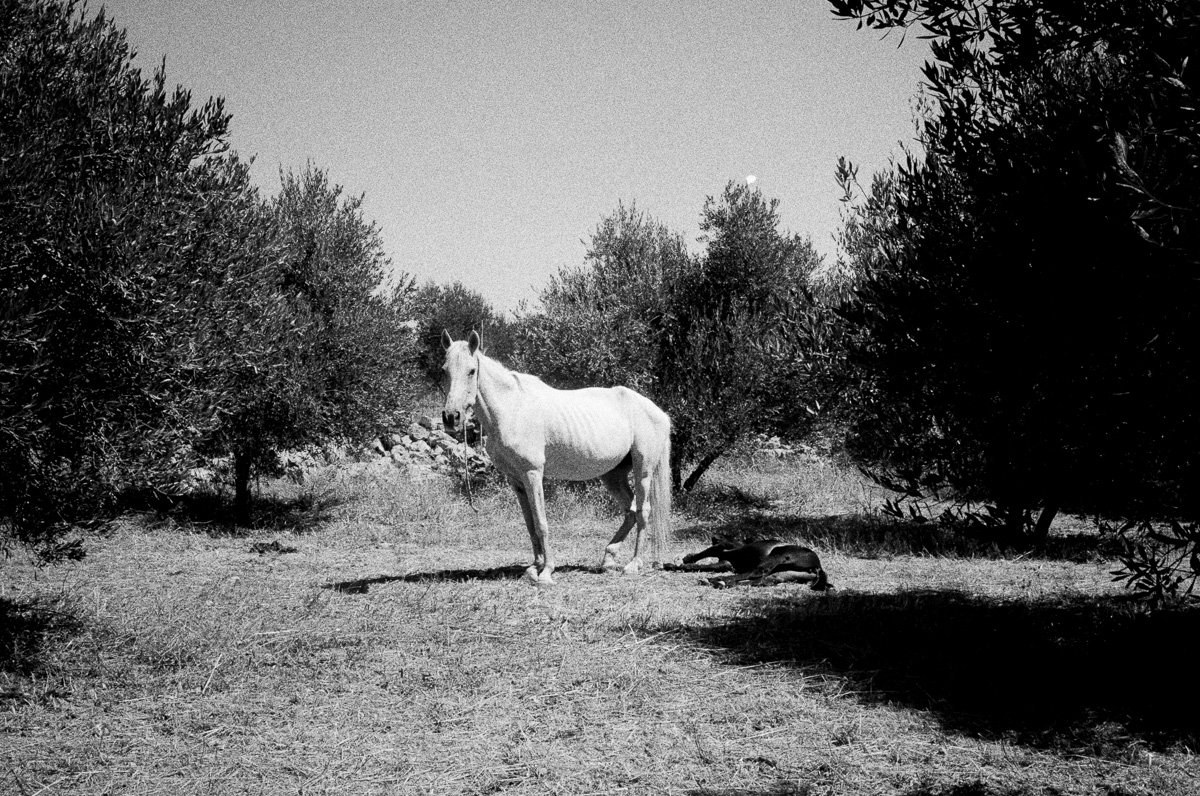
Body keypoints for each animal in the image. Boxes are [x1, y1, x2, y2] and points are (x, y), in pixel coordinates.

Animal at [441, 328, 672, 585]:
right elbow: (530, 524)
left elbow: (541, 523)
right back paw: (608, 559)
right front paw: (534, 567)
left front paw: (546, 572)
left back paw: (633, 564)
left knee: (643, 511)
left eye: (472, 371)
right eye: (444, 370)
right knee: (630, 510)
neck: (512, 409)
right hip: (612, 476)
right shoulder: (516, 480)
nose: (451, 417)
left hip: (644, 471)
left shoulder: (533, 474)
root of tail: (659, 413)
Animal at [681, 535, 830, 590]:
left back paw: (716, 580)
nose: (714, 537)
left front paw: (684, 561)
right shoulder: (725, 561)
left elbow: (710, 551)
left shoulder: (726, 549)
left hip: (778, 555)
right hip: (780, 575)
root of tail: (818, 567)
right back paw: (722, 582)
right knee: (759, 580)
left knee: (754, 573)